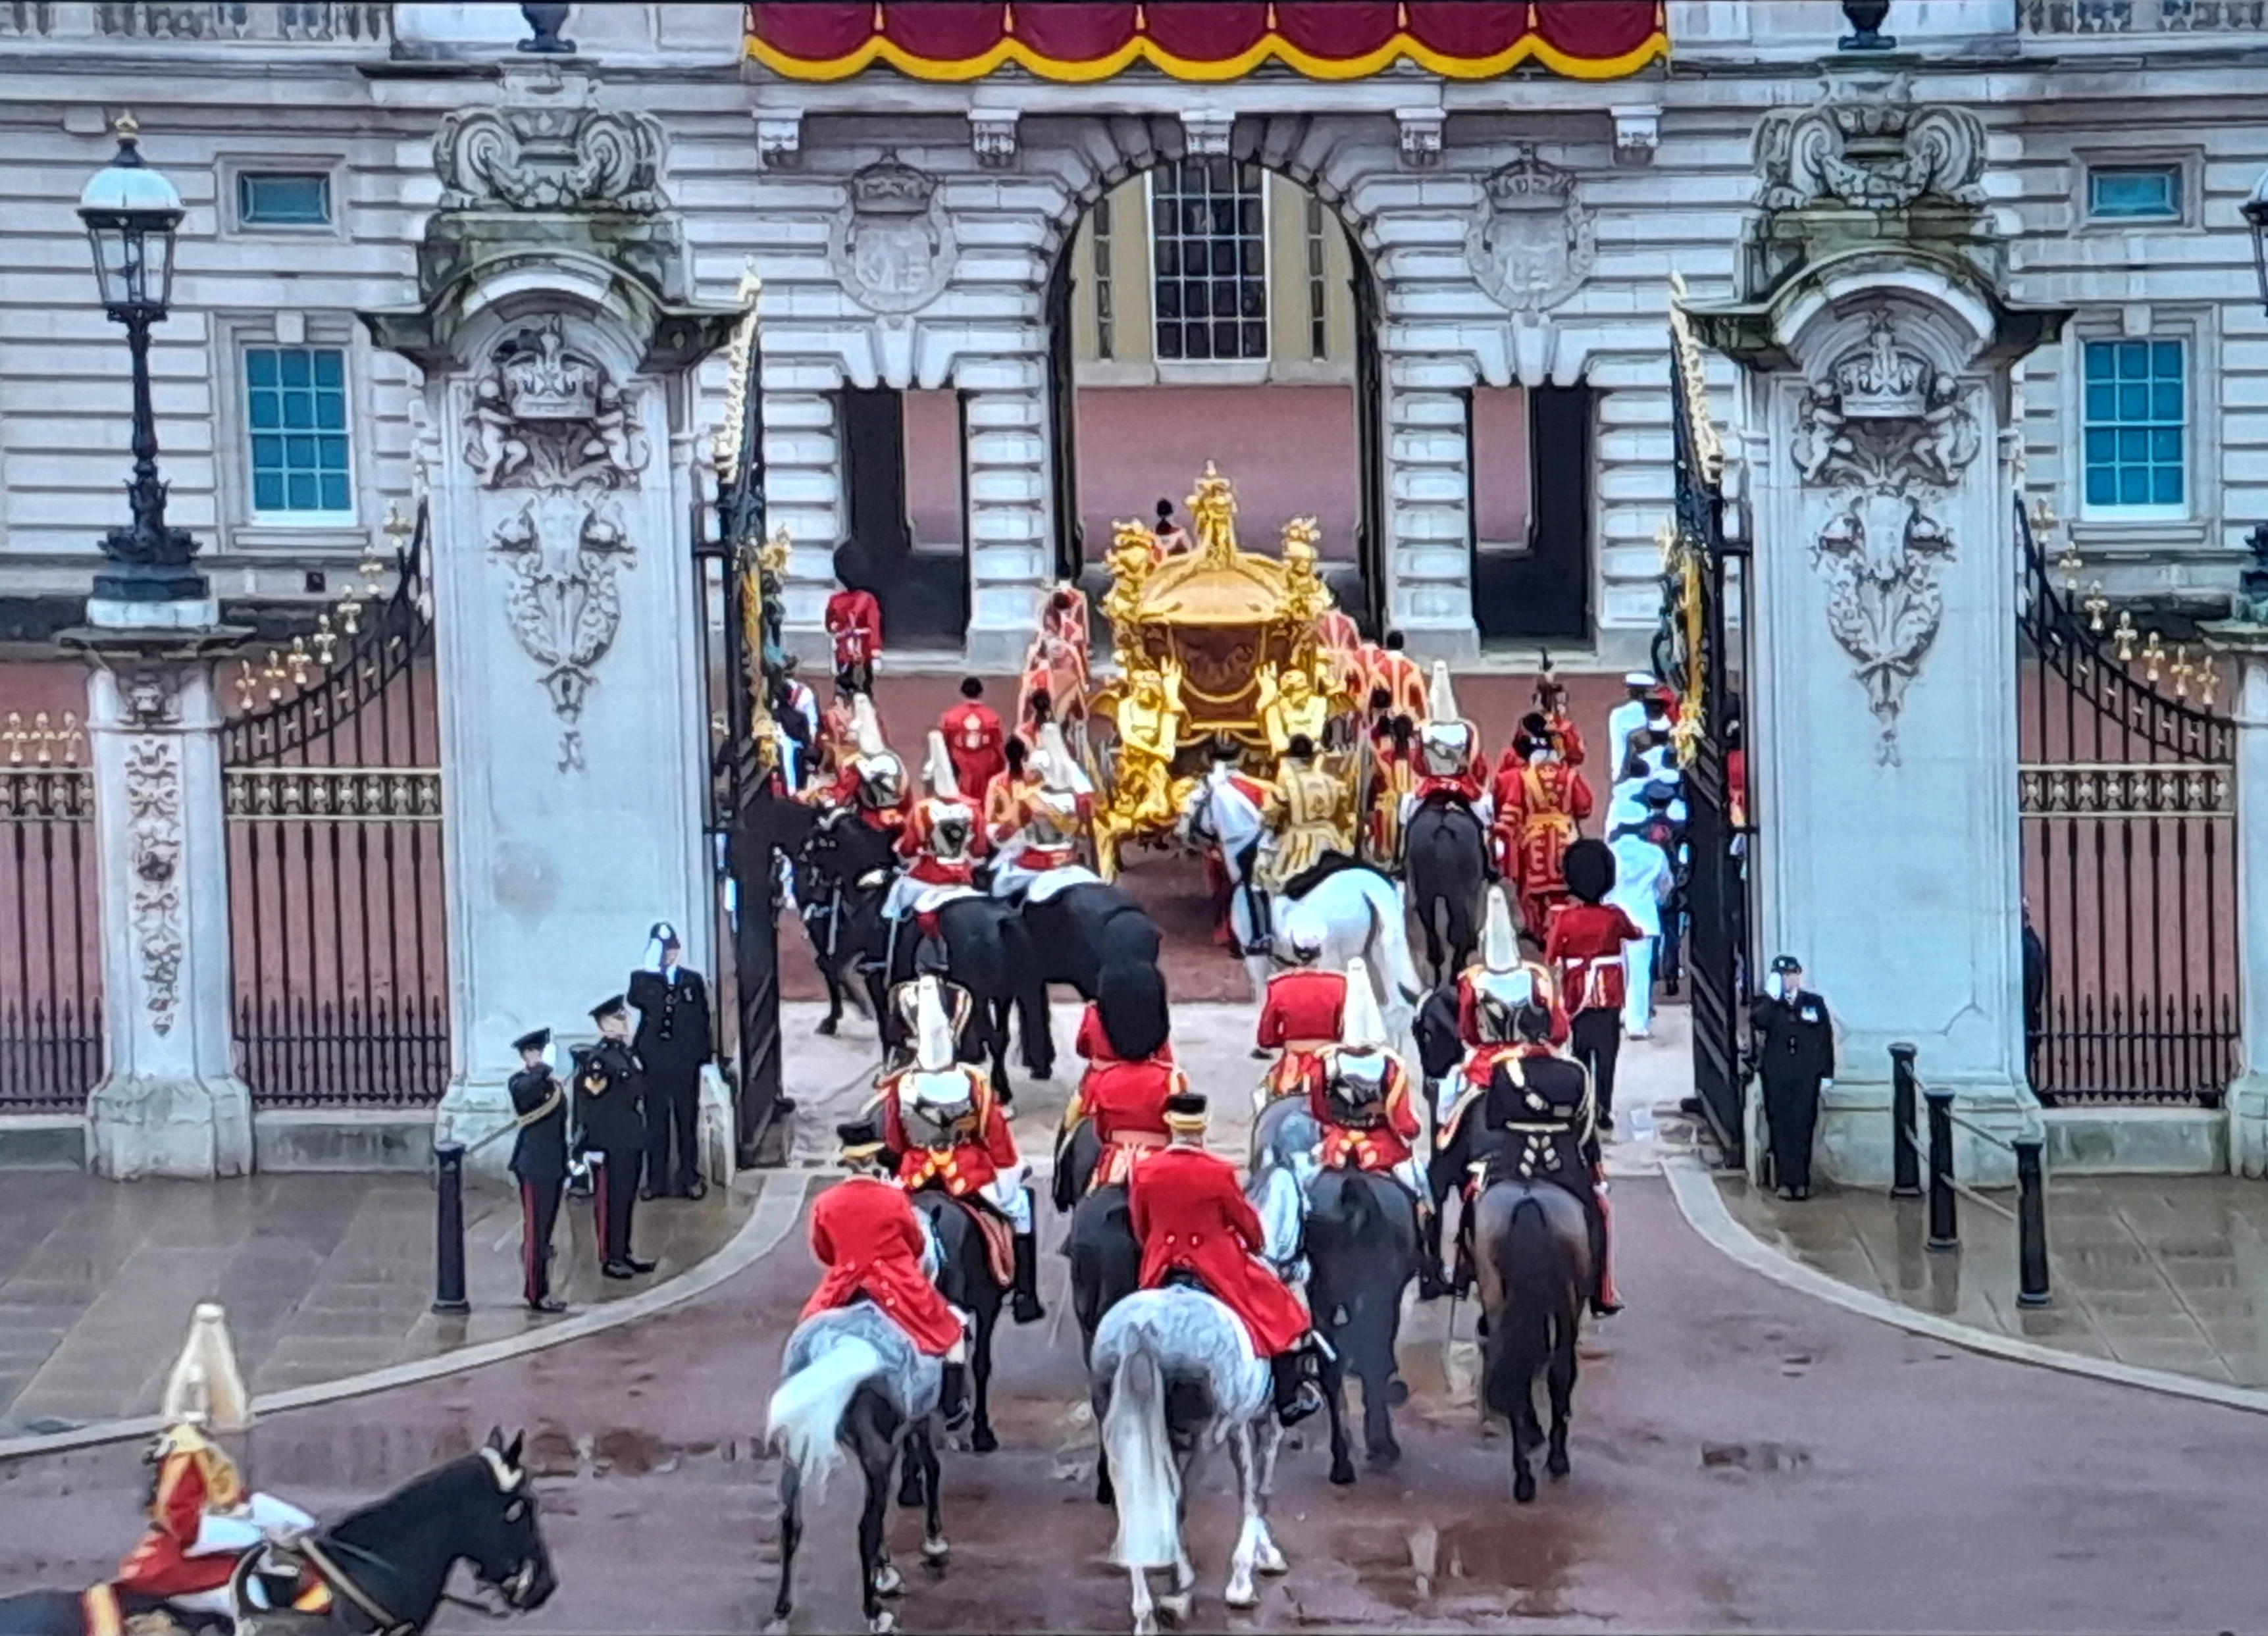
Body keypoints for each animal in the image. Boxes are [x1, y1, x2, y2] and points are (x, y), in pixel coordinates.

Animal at [761, 1298, 939, 1624]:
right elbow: (931, 1466)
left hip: (796, 1447)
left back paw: (781, 1608)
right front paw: (933, 1543)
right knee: (865, 1529)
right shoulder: (918, 1417)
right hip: (874, 1451)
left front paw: (885, 1571)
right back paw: (874, 1613)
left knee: (790, 1522)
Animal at [1089, 1279, 1288, 1624]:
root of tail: (1142, 1328)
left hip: (1121, 1421)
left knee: (1137, 1499)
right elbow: (1252, 1493)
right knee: (1177, 1499)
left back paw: (1145, 1610)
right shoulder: (1239, 1424)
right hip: (1208, 1433)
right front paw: (1244, 1580)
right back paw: (1178, 1585)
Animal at [1406, 794, 1497, 984]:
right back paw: (1456, 972)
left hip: (1425, 893)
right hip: (1464, 895)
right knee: (1460, 931)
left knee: (1431, 928)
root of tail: (1443, 828)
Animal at [1470, 1171, 1596, 1506]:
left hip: (1497, 1297)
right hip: (1568, 1304)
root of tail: (1529, 1199)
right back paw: (1554, 1461)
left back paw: (1524, 1479)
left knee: (1517, 1375)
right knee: (1560, 1373)